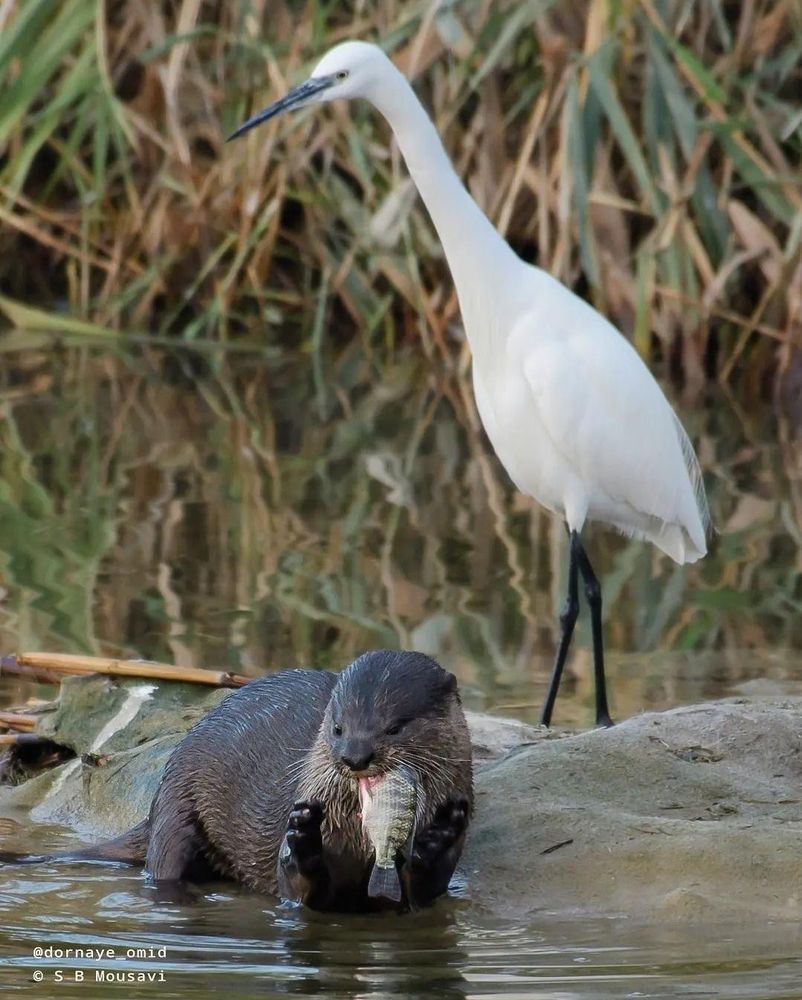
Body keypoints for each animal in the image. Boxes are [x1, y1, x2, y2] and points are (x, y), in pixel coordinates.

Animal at [4, 650, 473, 912]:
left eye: (394, 727)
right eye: (338, 727)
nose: (354, 757)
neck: (359, 842)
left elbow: (426, 891)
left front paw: (440, 836)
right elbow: (298, 891)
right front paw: (303, 842)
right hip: (177, 805)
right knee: (164, 866)